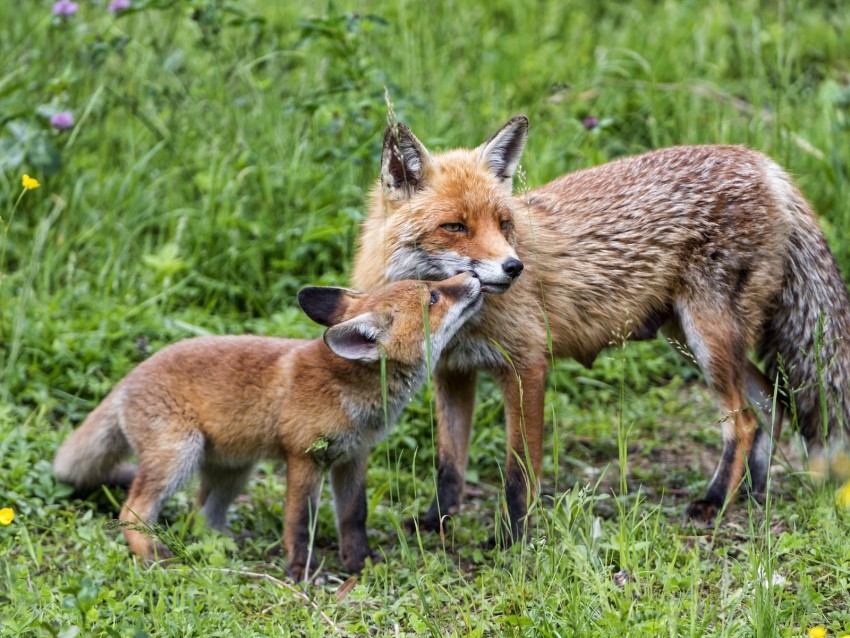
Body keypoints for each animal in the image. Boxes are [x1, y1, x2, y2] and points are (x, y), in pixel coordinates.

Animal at [54, 276, 484, 580]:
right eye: (434, 297)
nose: (475, 275)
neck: (346, 388)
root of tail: (125, 379)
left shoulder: (353, 456)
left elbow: (353, 516)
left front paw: (359, 564)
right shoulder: (304, 458)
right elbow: (298, 521)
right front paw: (301, 571)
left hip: (234, 470)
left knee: (201, 515)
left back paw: (228, 542)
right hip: (180, 455)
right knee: (132, 511)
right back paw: (155, 554)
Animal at [352, 116, 848, 544]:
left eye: (504, 223)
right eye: (454, 226)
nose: (514, 268)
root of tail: (763, 163)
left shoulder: (527, 366)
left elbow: (518, 473)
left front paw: (512, 539)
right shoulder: (452, 372)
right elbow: (449, 464)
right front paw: (436, 522)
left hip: (707, 337)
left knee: (743, 421)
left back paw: (713, 501)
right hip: (691, 339)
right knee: (771, 404)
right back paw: (751, 494)